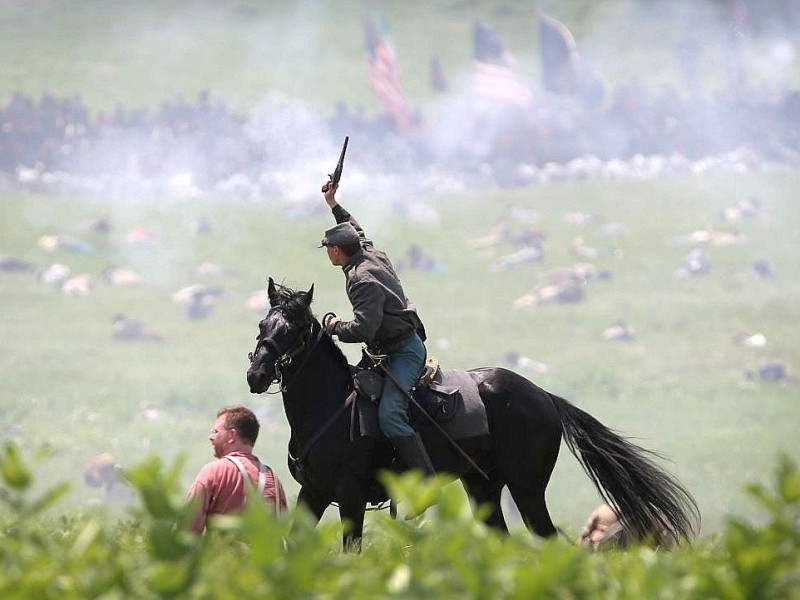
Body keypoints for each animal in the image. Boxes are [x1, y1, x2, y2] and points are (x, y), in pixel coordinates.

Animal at [245, 278, 700, 552]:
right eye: (263, 325)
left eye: (293, 330)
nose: (257, 375)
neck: (331, 409)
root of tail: (545, 398)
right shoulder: (314, 493)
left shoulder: (351, 497)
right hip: (483, 487)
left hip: (527, 489)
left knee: (548, 539)